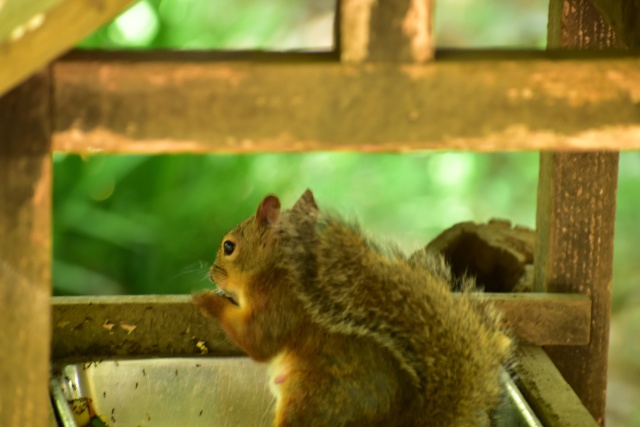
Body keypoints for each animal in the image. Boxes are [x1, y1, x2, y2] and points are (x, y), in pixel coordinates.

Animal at [192, 191, 512, 427]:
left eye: (229, 247)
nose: (212, 275)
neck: (275, 272)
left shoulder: (279, 306)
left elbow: (258, 342)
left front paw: (207, 300)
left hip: (312, 400)